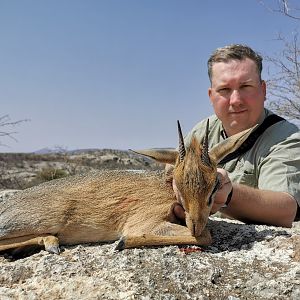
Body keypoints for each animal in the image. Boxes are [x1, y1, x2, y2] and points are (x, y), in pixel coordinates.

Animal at [0, 120, 253, 256]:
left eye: (215, 186)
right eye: (177, 186)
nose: (195, 225)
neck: (166, 191)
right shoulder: (143, 222)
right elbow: (207, 237)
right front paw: (123, 242)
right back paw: (50, 243)